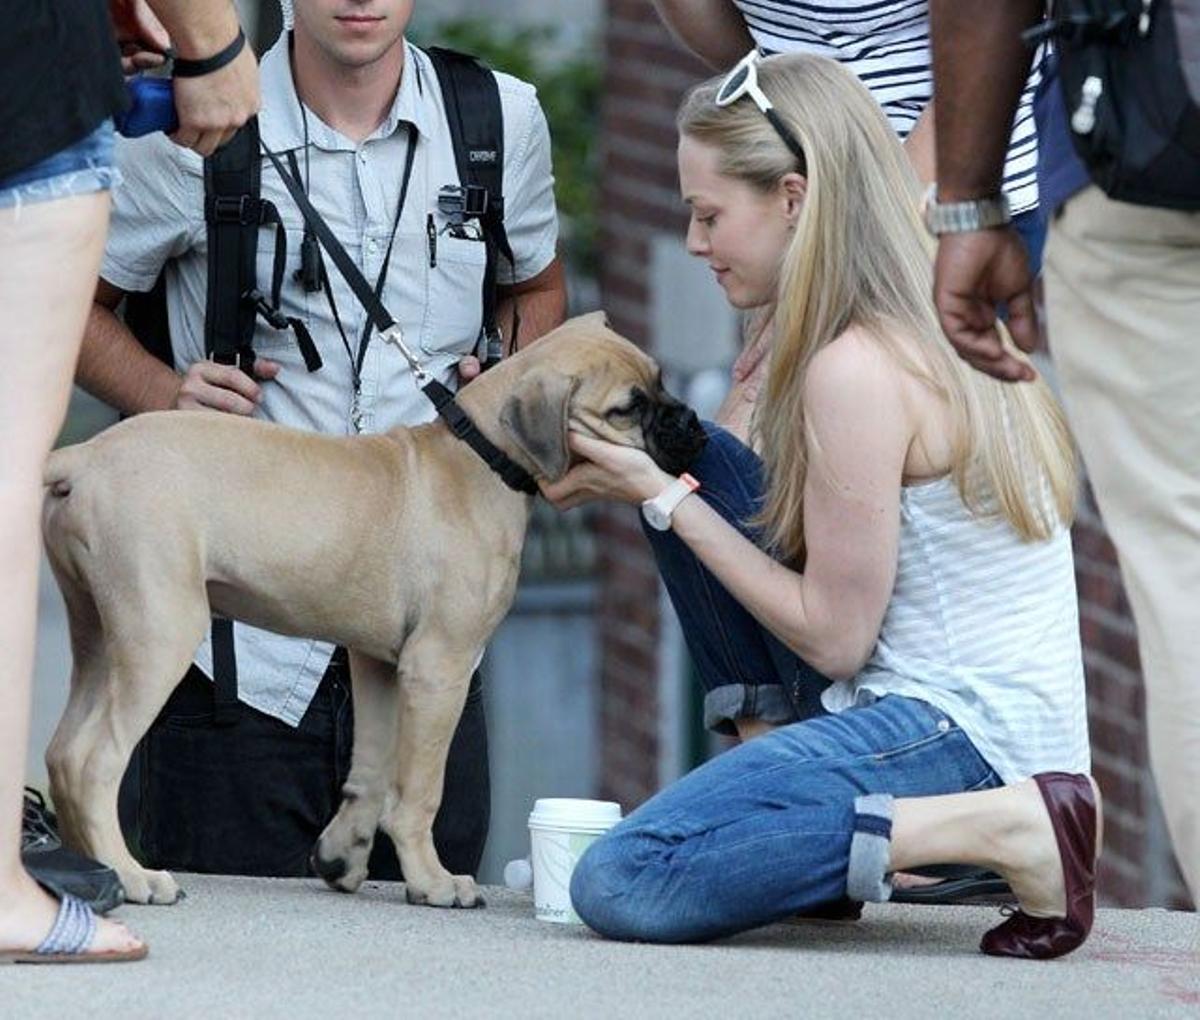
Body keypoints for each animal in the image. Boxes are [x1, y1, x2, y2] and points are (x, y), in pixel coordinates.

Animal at [42, 312, 705, 907]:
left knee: (62, 753)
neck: (481, 455)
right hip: (159, 631)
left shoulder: (381, 663)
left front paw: (342, 857)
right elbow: (419, 789)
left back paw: (98, 871)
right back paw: (134, 878)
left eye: (661, 380)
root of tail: (85, 456)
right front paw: (433, 882)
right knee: (92, 760)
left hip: (98, 631)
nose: (694, 424)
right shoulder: (439, 668)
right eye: (627, 409)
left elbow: (372, 769)